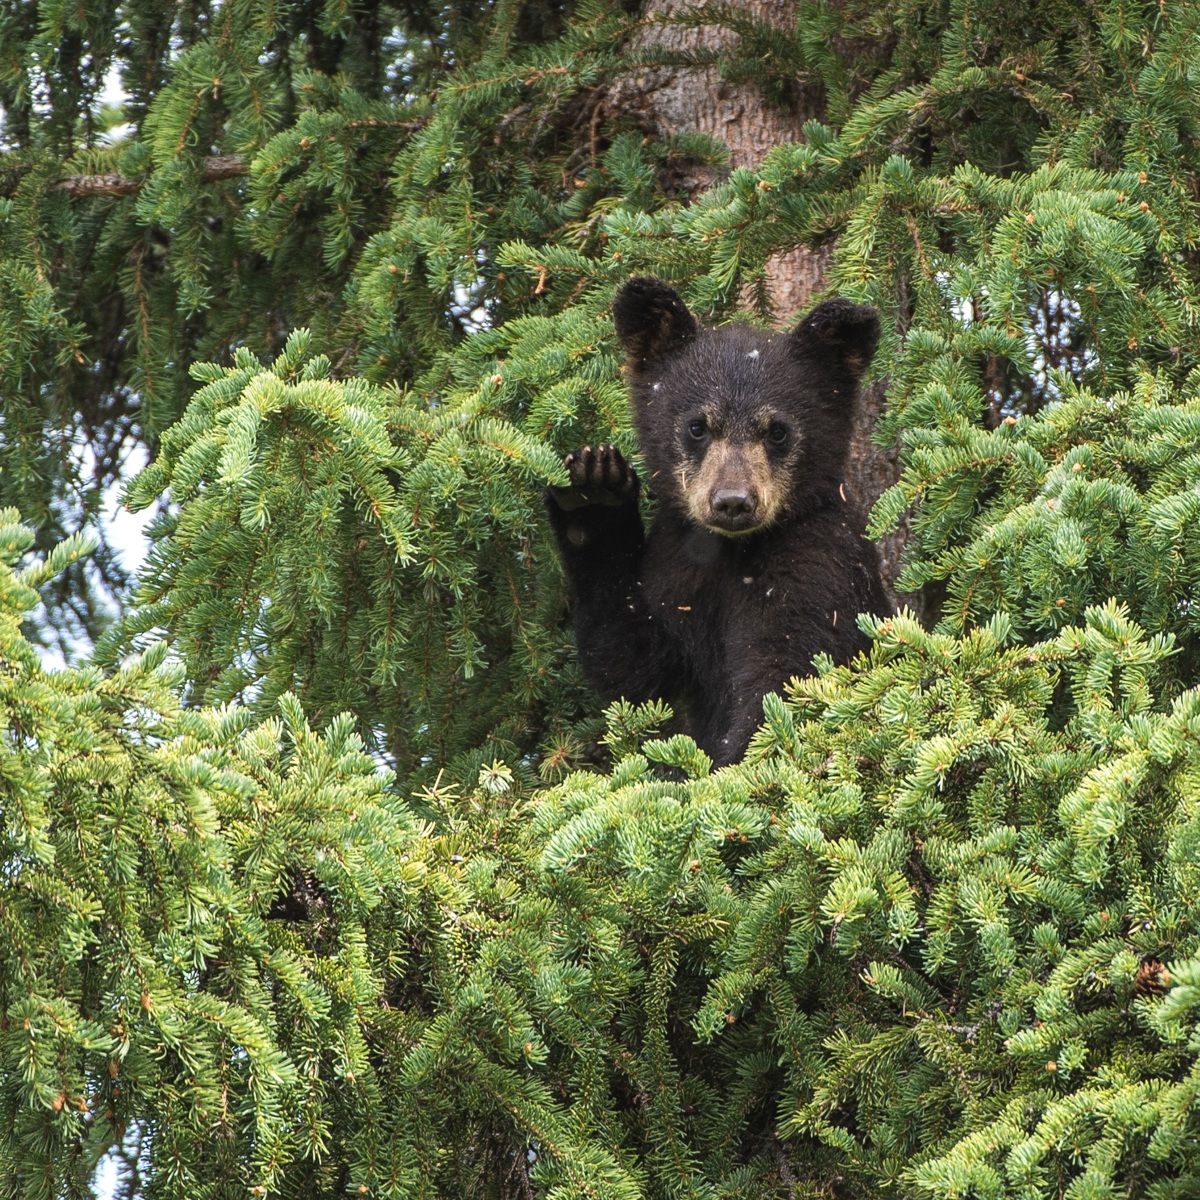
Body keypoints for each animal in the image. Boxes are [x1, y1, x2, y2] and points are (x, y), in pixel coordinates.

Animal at [545, 276, 892, 767]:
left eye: (777, 430)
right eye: (697, 426)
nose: (732, 502)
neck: (731, 553)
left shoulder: (821, 561)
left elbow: (790, 678)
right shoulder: (675, 573)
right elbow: (639, 674)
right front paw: (593, 492)